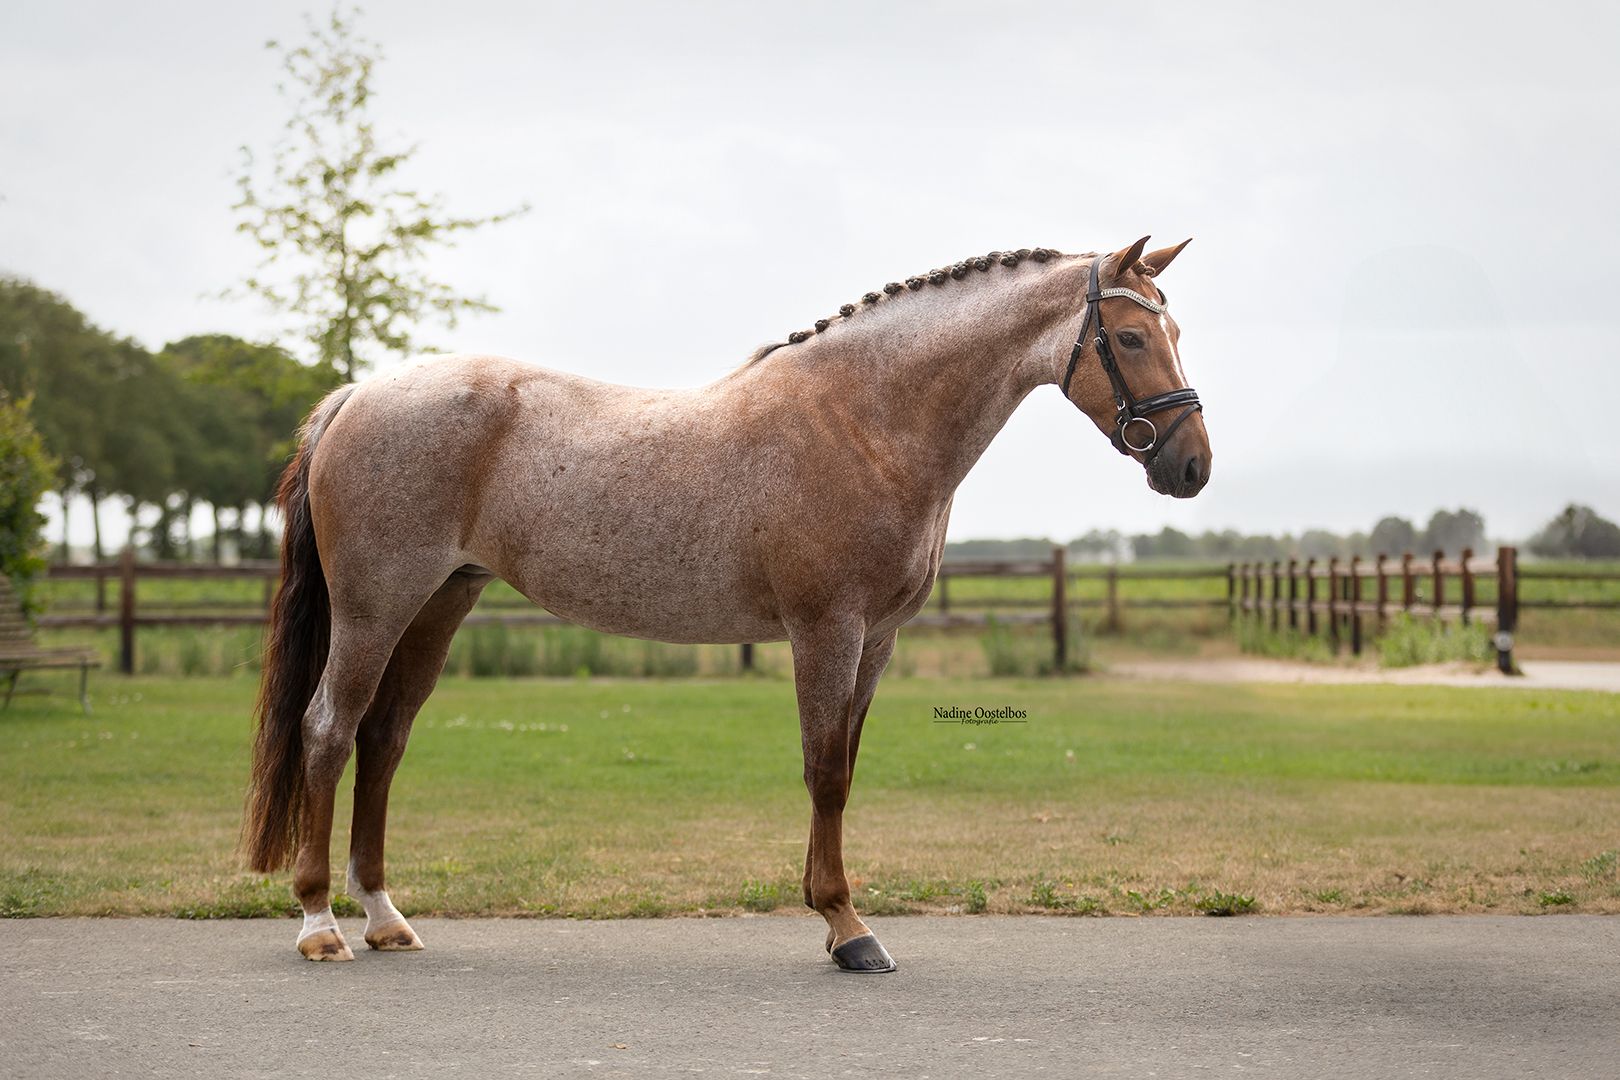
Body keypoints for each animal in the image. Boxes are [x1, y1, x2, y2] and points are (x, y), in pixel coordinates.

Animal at [243, 235, 1211, 972]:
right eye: (1130, 336)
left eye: (1171, 328)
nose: (1191, 464)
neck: (865, 420)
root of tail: (355, 396)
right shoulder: (827, 632)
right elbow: (824, 771)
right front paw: (847, 929)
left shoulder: (878, 641)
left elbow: (845, 766)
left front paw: (839, 918)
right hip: (375, 607)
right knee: (329, 729)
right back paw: (320, 924)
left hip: (439, 604)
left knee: (383, 737)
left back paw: (384, 916)